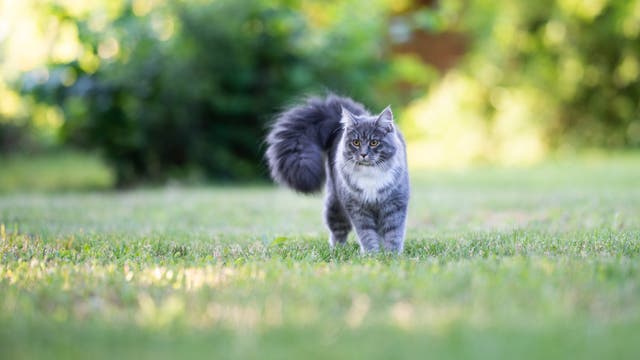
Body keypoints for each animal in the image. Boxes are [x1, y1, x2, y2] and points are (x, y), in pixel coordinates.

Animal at [266, 94, 410, 255]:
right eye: (355, 142)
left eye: (374, 142)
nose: (363, 154)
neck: (370, 174)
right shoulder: (358, 209)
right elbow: (367, 234)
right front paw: (372, 254)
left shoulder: (395, 204)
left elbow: (393, 233)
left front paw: (391, 255)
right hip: (335, 206)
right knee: (338, 231)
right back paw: (338, 248)